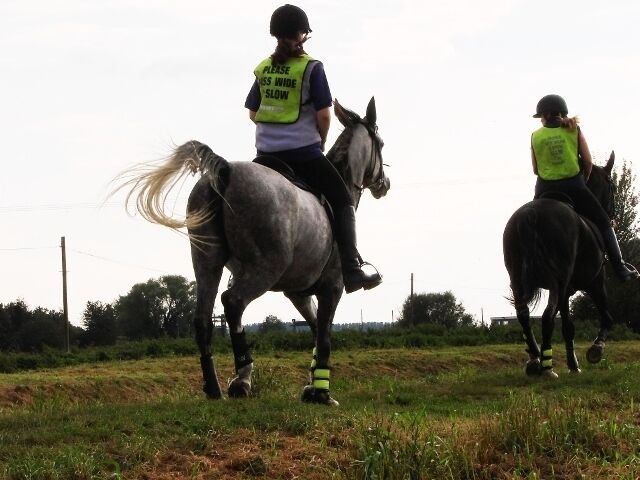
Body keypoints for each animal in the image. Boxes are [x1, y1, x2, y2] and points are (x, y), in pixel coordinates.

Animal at [120, 97, 389, 405]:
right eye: (381, 143)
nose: (384, 183)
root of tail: (225, 169)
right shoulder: (331, 288)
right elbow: (323, 338)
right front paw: (321, 393)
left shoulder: (299, 294)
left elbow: (313, 330)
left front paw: (311, 387)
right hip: (266, 268)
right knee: (233, 302)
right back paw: (242, 377)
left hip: (207, 262)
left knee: (203, 317)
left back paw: (214, 387)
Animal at [502, 152, 616, 378]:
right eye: (612, 187)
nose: (613, 214)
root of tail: (531, 215)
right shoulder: (596, 281)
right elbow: (606, 317)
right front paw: (595, 350)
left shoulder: (566, 293)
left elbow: (567, 327)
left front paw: (573, 364)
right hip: (559, 281)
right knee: (547, 316)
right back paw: (546, 367)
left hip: (518, 279)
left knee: (524, 315)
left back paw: (534, 360)